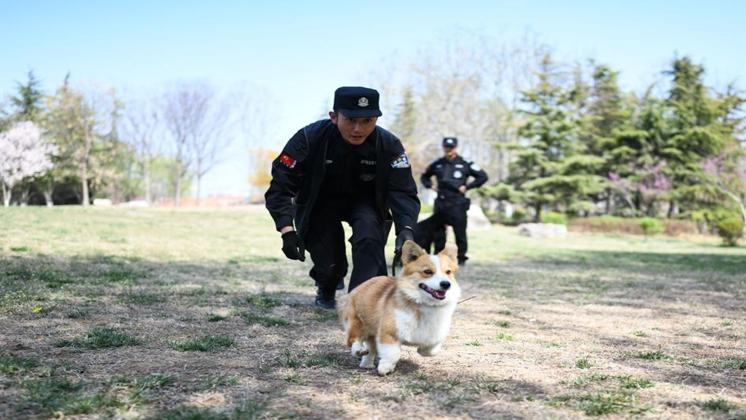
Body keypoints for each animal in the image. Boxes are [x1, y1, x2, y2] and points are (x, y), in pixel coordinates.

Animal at [338, 241, 460, 376]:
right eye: (428, 271)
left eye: (448, 272)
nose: (446, 284)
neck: (424, 304)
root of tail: (360, 286)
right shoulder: (388, 333)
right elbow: (393, 353)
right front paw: (385, 367)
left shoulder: (435, 335)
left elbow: (431, 350)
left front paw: (421, 350)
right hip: (357, 322)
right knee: (353, 339)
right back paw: (359, 350)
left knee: (371, 347)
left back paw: (366, 363)